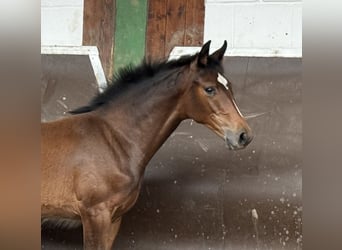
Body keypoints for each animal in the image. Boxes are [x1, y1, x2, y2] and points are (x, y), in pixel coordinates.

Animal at [41, 40, 252, 248]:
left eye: (229, 86)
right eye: (209, 89)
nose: (243, 135)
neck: (113, 139)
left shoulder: (113, 219)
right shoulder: (95, 214)